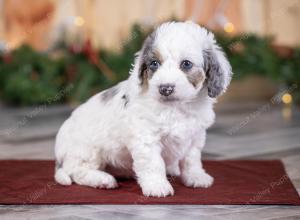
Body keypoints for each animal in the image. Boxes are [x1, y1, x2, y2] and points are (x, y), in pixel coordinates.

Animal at [54, 20, 232, 197]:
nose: (165, 88)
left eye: (186, 64)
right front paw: (157, 186)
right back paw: (103, 180)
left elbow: (191, 160)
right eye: (154, 64)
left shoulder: (195, 136)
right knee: (76, 171)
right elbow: (154, 163)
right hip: (87, 151)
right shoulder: (146, 137)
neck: (175, 108)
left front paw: (196, 177)